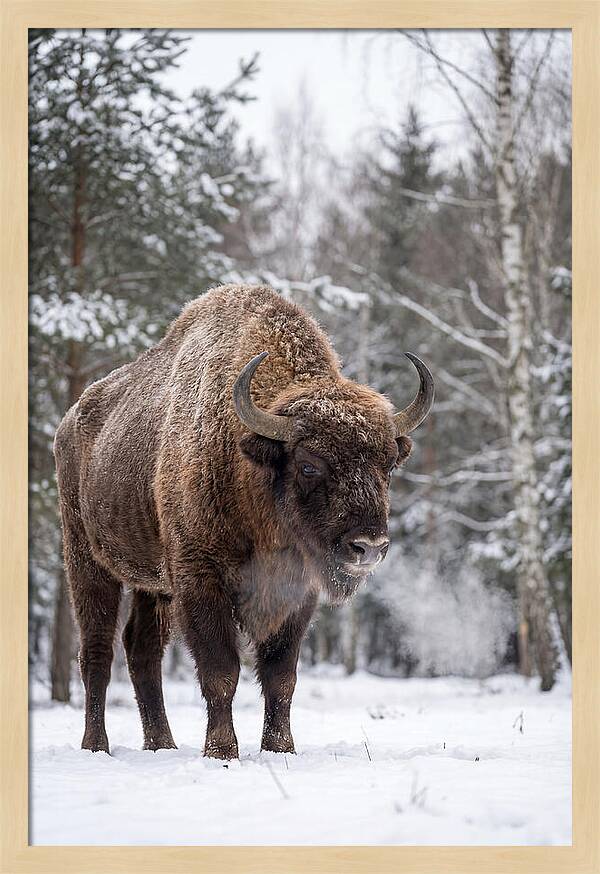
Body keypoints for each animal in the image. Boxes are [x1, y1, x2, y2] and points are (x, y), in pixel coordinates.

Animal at [54, 284, 434, 758]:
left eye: (387, 466)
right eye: (309, 465)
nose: (369, 547)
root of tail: (69, 423)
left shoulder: (297, 593)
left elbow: (280, 676)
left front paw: (280, 749)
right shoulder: (200, 580)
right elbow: (221, 671)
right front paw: (221, 752)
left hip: (151, 583)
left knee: (142, 651)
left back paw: (162, 745)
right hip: (88, 560)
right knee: (97, 652)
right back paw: (96, 746)